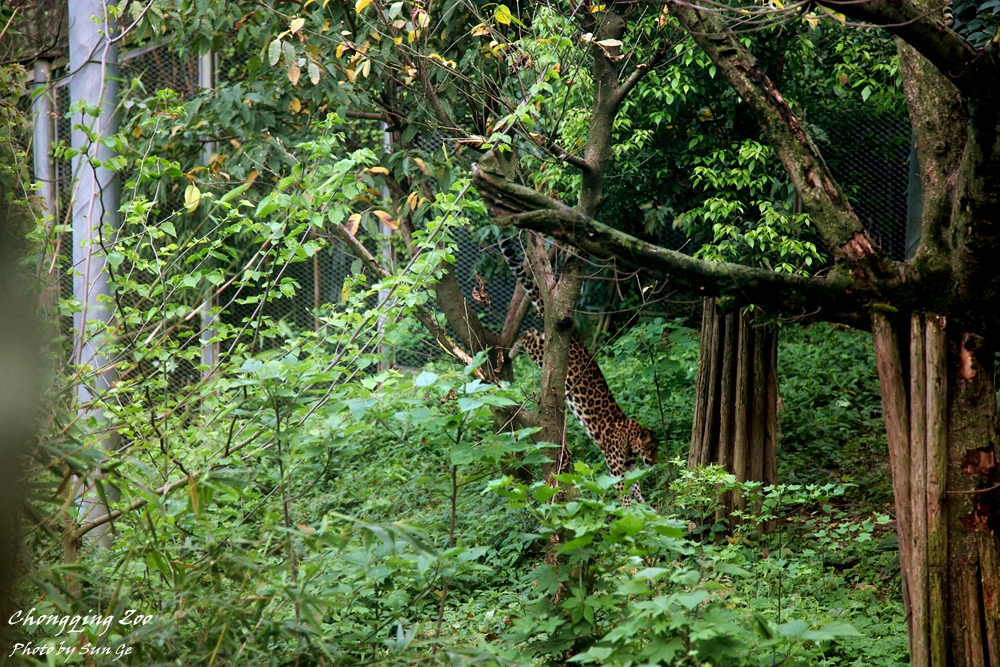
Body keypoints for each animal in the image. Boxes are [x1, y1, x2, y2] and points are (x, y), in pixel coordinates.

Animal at [499, 234, 659, 505]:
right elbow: (624, 491)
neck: (630, 438)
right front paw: (628, 508)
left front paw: (645, 508)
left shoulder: (628, 466)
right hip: (544, 355)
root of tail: (573, 334)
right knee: (529, 335)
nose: (656, 462)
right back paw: (512, 350)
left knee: (533, 331)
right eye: (652, 448)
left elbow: (636, 488)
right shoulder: (616, 465)